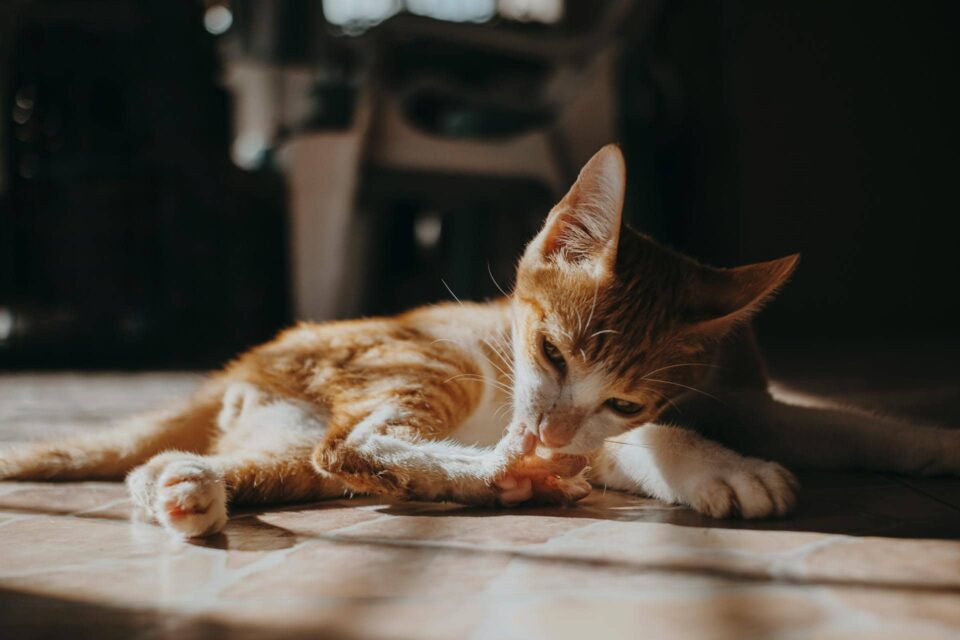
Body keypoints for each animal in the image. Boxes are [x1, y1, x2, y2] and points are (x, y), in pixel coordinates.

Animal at [1, 145, 960, 536]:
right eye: (552, 355)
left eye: (624, 391)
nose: (543, 438)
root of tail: (251, 355)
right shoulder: (563, 425)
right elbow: (648, 445)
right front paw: (719, 468)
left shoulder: (742, 399)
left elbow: (836, 421)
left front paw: (931, 443)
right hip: (430, 363)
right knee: (359, 445)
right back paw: (498, 477)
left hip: (281, 441)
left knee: (238, 461)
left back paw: (184, 489)